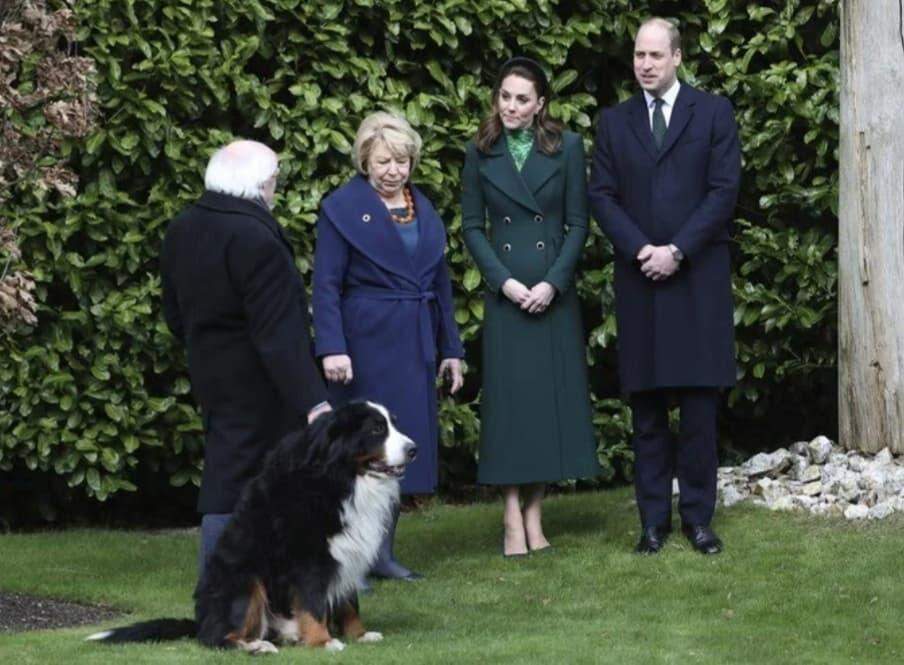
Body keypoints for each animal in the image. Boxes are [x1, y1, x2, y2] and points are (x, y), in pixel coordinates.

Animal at [86, 400, 418, 652]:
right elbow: (312, 602)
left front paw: (359, 634)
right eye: (377, 429)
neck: (341, 477)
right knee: (217, 639)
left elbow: (349, 602)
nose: (414, 448)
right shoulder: (309, 555)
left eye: (393, 424)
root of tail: (201, 620)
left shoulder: (347, 550)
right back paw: (256, 646)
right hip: (244, 581)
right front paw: (323, 641)